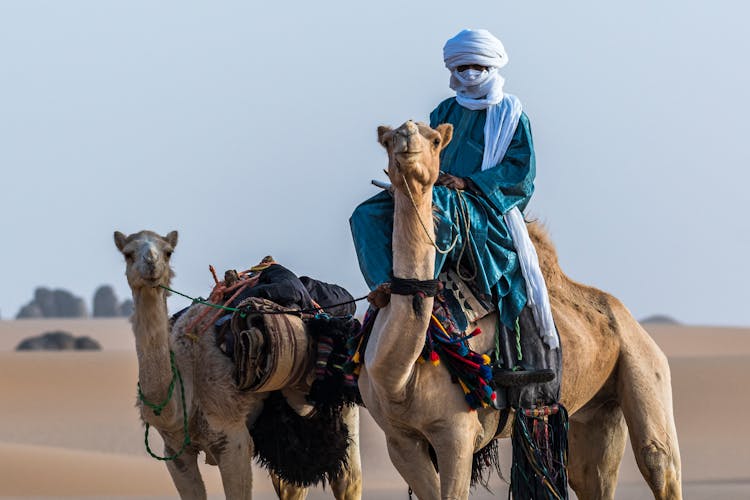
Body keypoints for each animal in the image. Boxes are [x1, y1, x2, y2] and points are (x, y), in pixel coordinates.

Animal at [114, 231, 364, 500]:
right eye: (128, 254)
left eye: (168, 251)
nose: (151, 264)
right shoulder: (175, 451)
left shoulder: (233, 439)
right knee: (292, 484)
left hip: (342, 401)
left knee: (348, 480)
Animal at [360, 121, 688, 500]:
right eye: (389, 139)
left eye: (436, 140)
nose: (408, 141)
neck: (401, 374)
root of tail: (630, 321)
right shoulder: (400, 440)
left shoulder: (457, 433)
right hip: (595, 412)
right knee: (591, 475)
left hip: (645, 365)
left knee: (659, 461)